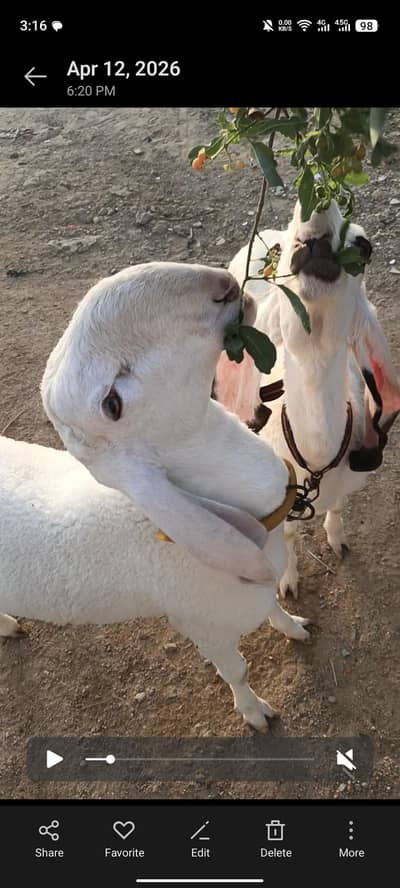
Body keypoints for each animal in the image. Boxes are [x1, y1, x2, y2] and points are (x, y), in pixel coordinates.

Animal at [0, 262, 310, 731]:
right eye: (112, 404)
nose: (223, 286)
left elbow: (274, 607)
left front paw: (292, 626)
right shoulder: (204, 625)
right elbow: (236, 671)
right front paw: (255, 712)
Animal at [216, 200, 400, 598]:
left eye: (364, 246)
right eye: (286, 249)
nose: (314, 219)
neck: (316, 459)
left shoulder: (349, 481)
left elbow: (340, 508)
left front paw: (338, 541)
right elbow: (286, 536)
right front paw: (287, 583)